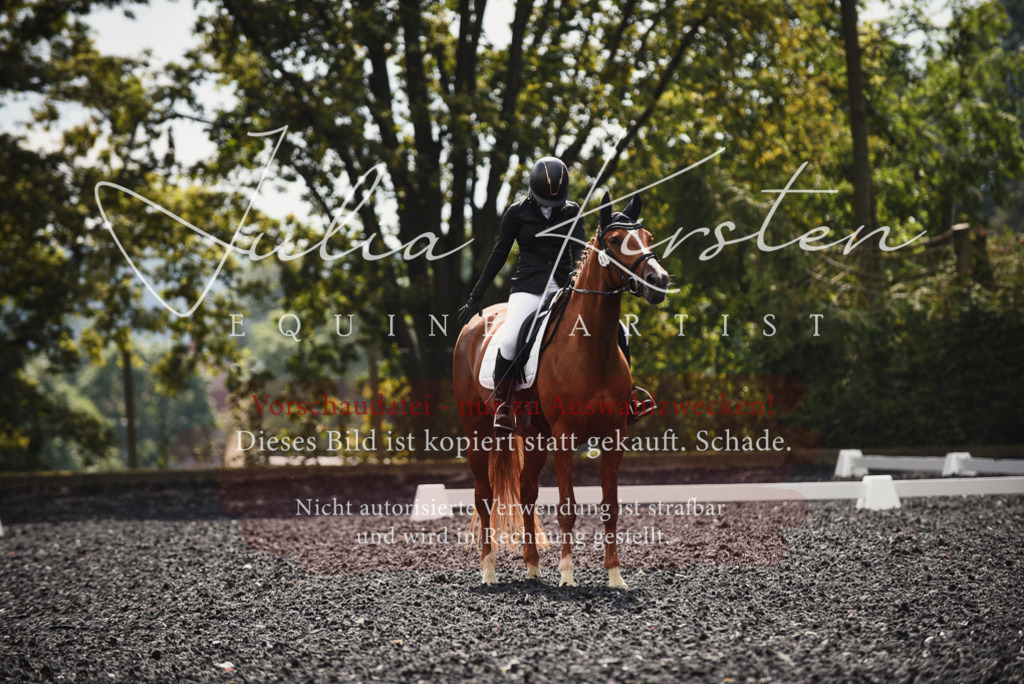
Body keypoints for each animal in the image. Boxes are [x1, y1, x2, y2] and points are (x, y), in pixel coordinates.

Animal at [452, 191, 670, 588]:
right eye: (616, 240)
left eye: (647, 236)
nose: (658, 280)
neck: (590, 345)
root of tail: (475, 326)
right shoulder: (565, 436)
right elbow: (567, 505)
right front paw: (567, 574)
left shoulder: (614, 435)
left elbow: (610, 506)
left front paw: (615, 575)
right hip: (478, 431)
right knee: (484, 495)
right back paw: (489, 569)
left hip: (535, 437)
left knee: (526, 492)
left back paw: (532, 566)